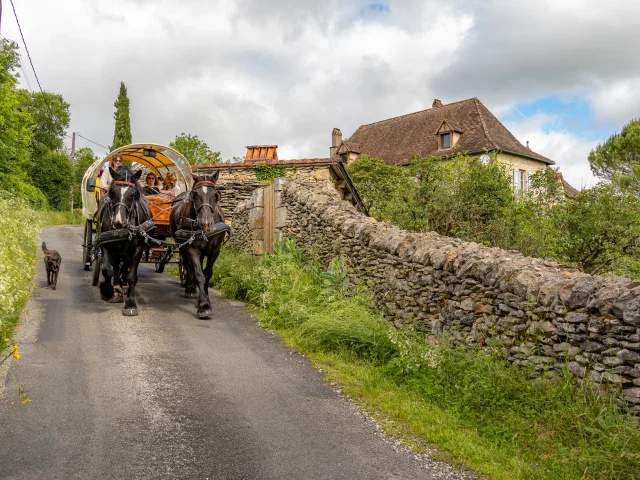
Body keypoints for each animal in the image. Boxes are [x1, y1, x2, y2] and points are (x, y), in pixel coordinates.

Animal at [96, 165, 152, 316]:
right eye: (112, 191)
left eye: (133, 194)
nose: (118, 222)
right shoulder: (105, 244)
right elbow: (107, 270)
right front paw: (108, 292)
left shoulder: (138, 249)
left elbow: (132, 275)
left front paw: (130, 304)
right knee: (115, 266)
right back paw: (117, 288)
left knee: (125, 266)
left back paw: (124, 285)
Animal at [170, 172, 228, 318]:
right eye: (195, 194)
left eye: (215, 194)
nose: (205, 223)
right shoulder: (192, 248)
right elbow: (198, 274)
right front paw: (203, 305)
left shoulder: (215, 250)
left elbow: (207, 274)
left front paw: (205, 299)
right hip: (182, 245)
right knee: (187, 265)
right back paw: (190, 288)